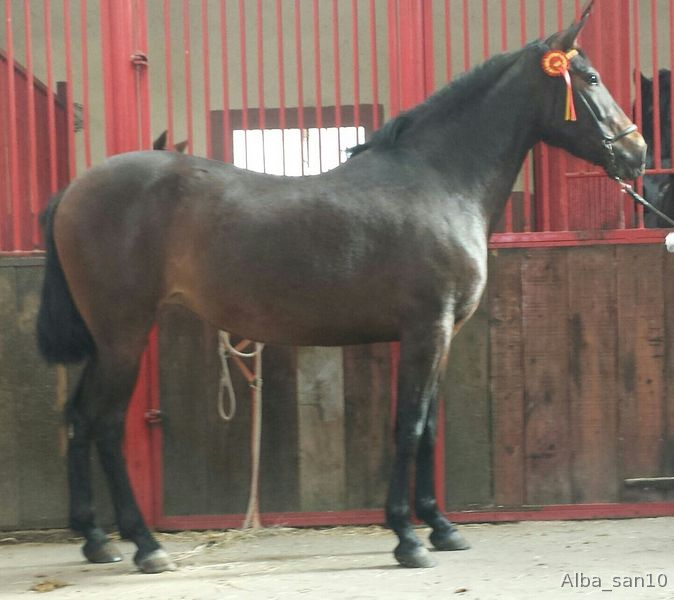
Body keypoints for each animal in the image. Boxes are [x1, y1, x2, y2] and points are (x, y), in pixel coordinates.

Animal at [36, 6, 645, 573]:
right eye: (591, 78)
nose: (636, 153)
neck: (439, 182)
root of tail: (73, 191)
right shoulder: (425, 331)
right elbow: (409, 426)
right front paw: (406, 538)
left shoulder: (443, 337)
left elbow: (429, 429)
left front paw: (442, 528)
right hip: (124, 335)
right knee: (107, 425)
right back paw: (146, 545)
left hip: (105, 341)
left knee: (78, 417)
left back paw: (96, 541)